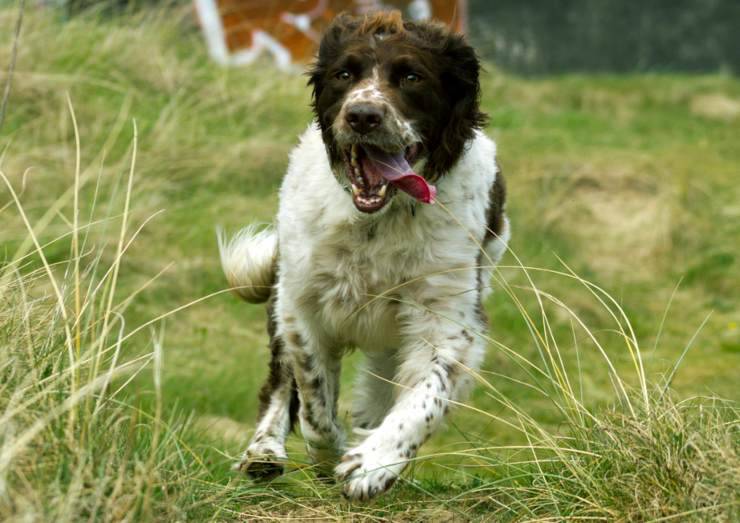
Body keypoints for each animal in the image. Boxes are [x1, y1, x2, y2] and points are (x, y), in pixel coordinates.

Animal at [218, 10, 508, 502]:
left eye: (411, 77)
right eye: (344, 75)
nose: (363, 115)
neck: (379, 220)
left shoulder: (446, 316)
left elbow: (425, 396)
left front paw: (373, 463)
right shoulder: (301, 304)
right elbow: (312, 403)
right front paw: (329, 453)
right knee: (280, 385)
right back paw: (264, 452)